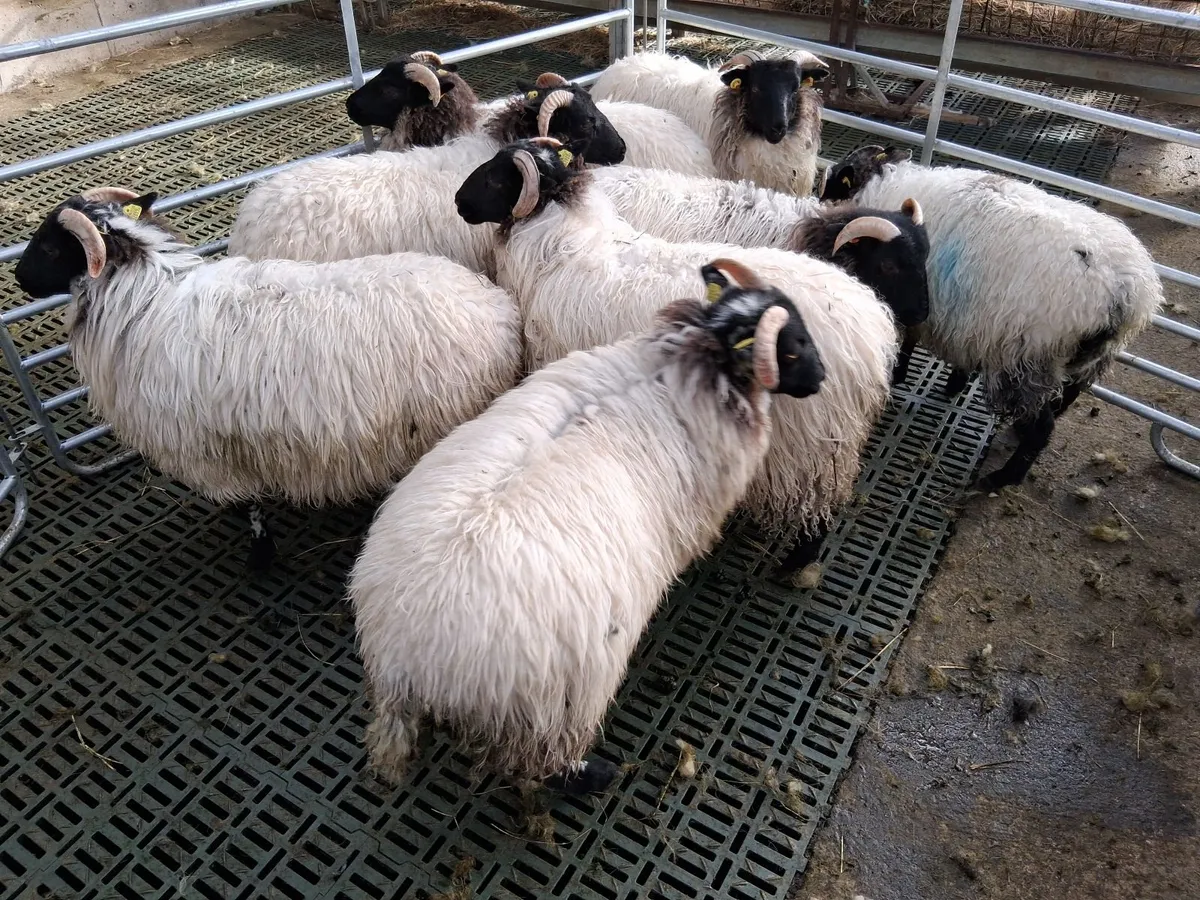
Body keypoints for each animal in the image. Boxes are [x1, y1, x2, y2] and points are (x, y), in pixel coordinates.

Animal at [14, 187, 523, 569]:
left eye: (52, 247)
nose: (19, 278)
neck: (144, 300)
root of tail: (500, 310)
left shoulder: (211, 447)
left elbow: (249, 505)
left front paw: (260, 555)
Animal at [347, 256, 826, 794]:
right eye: (792, 344)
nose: (822, 377)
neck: (686, 367)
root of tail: (406, 654)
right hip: (556, 705)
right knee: (546, 766)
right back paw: (596, 774)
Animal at [820, 144, 1164, 489]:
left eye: (833, 184)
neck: (881, 183)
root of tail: (1123, 290)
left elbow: (905, 345)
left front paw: (901, 376)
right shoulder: (964, 317)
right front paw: (955, 382)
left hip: (1027, 356)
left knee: (1042, 427)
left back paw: (1002, 478)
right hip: (1086, 361)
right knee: (1065, 399)